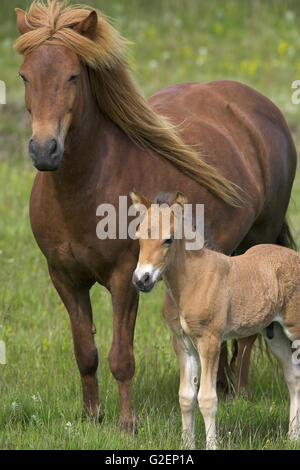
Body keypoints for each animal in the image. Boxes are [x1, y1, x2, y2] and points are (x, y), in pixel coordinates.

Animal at [130, 192, 300, 452]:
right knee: (292, 377)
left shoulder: (209, 341)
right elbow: (186, 396)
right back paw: (292, 437)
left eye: (168, 239)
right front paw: (186, 446)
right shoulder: (182, 343)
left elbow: (207, 399)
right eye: (139, 236)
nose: (142, 280)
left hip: (296, 329)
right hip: (276, 335)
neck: (192, 280)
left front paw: (211, 446)